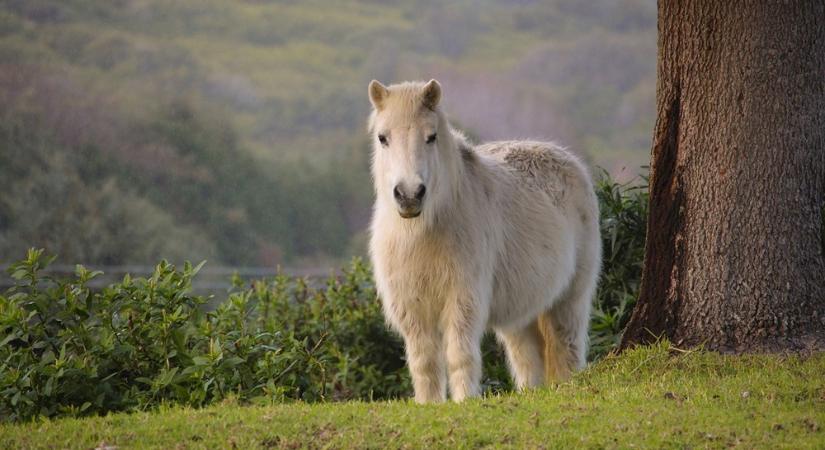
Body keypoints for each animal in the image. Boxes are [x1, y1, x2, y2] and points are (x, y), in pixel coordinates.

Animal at [366, 79, 600, 402]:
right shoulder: (411, 308)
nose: (410, 195)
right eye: (383, 138)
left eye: (431, 137)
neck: (422, 233)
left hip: (569, 299)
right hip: (521, 315)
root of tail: (569, 160)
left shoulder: (463, 299)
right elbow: (424, 363)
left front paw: (465, 400)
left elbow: (459, 355)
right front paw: (429, 404)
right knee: (528, 358)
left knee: (567, 348)